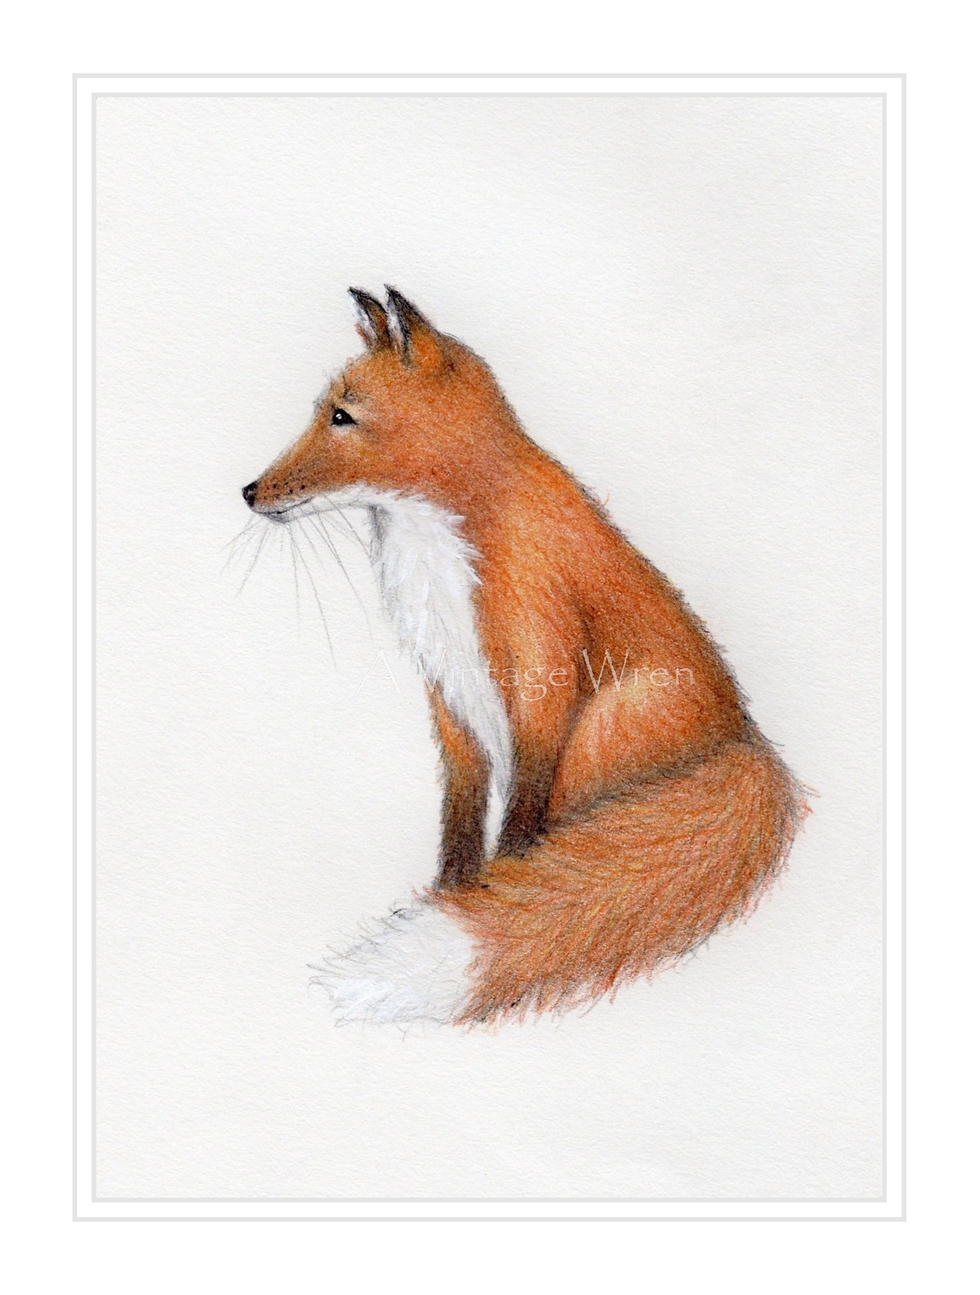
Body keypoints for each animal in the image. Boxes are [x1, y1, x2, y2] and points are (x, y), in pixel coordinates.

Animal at [242, 287, 808, 1026]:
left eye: (342, 416)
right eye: (321, 412)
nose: (249, 492)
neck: (442, 550)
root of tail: (750, 741)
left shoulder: (543, 676)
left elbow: (519, 827)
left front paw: (495, 896)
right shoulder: (450, 696)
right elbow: (460, 818)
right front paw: (452, 894)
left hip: (604, 725)